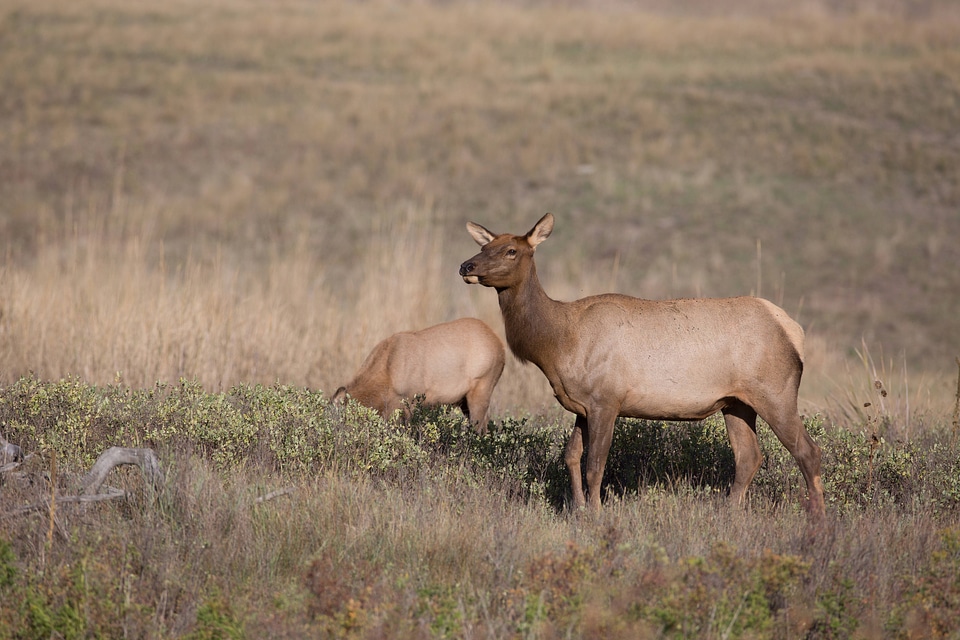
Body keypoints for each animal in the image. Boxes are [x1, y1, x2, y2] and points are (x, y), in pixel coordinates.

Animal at [458, 212, 824, 524]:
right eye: (483, 246)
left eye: (511, 251)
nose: (466, 265)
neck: (557, 344)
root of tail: (793, 330)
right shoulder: (582, 405)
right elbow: (571, 456)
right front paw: (577, 510)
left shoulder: (607, 399)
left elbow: (595, 465)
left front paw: (595, 513)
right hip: (736, 403)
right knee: (749, 457)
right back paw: (728, 511)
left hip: (775, 391)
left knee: (807, 450)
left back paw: (817, 516)